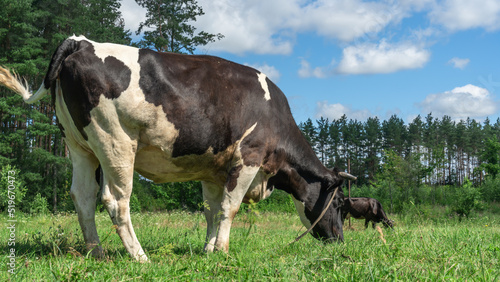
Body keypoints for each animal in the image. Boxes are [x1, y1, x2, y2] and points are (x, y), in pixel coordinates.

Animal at [1, 35, 358, 262]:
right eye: (340, 204)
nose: (340, 242)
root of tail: (81, 42)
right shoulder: (249, 156)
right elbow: (230, 207)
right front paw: (223, 251)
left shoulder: (214, 170)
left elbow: (211, 210)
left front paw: (208, 250)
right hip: (115, 142)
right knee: (115, 200)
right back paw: (140, 257)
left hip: (78, 146)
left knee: (83, 197)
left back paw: (96, 252)